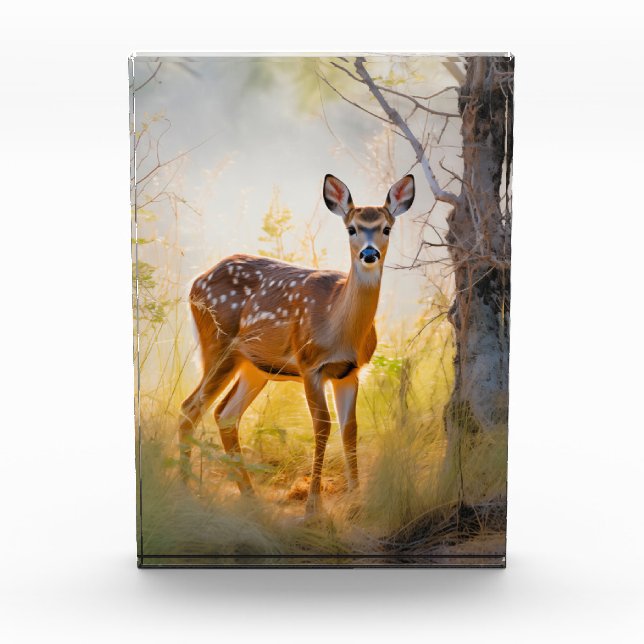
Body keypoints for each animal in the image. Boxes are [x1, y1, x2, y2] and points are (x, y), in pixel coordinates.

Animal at [179, 174, 415, 515]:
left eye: (386, 228)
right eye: (351, 228)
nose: (369, 254)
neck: (338, 325)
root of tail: (196, 282)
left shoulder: (350, 372)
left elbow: (350, 429)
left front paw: (357, 500)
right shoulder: (309, 364)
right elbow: (322, 426)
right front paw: (313, 506)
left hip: (255, 366)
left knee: (225, 414)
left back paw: (249, 496)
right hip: (218, 346)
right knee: (190, 408)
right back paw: (185, 489)